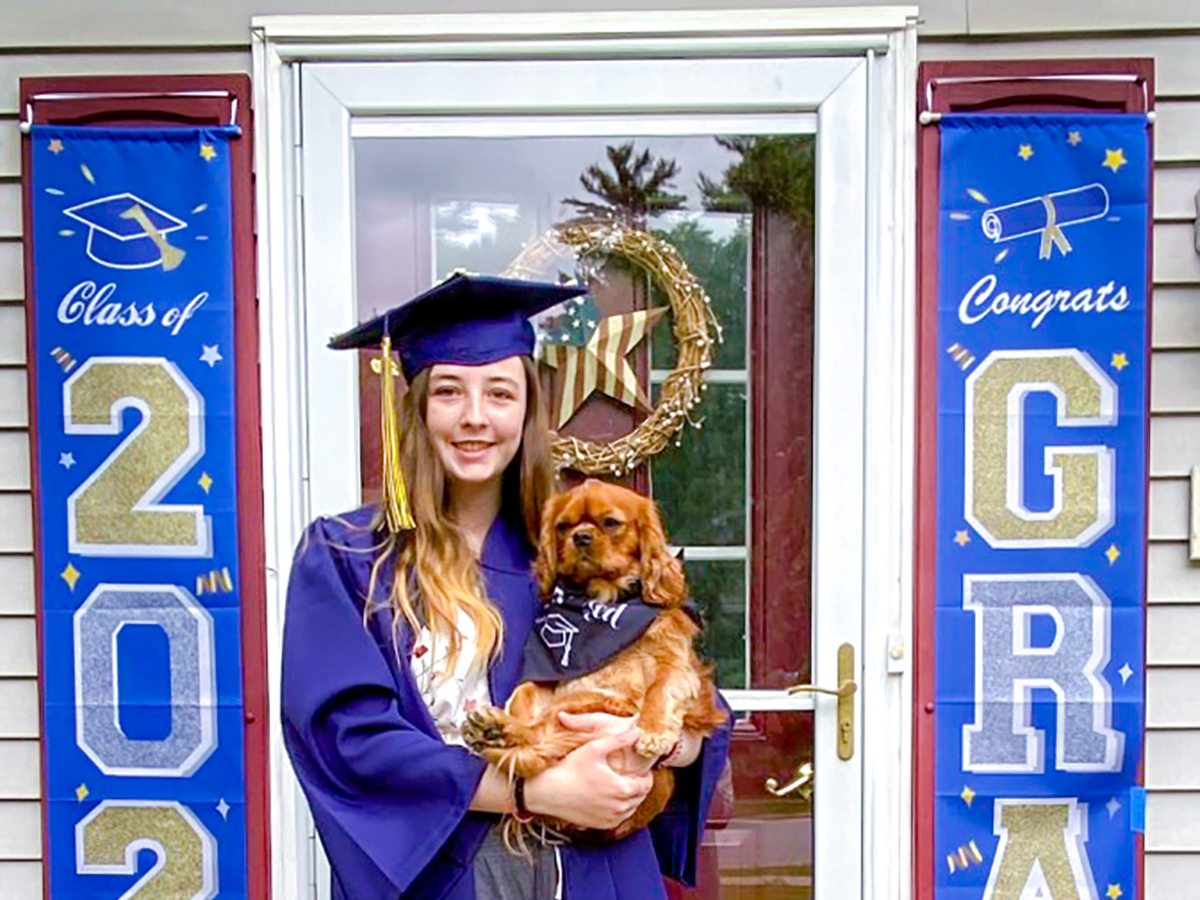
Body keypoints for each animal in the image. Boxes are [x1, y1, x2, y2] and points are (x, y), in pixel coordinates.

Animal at [460, 480, 720, 844]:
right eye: (563, 526)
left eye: (610, 523)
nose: (580, 536)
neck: (601, 604)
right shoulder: (553, 683)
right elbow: (525, 692)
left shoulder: (677, 666)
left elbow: (661, 689)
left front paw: (652, 731)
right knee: (536, 726)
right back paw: (496, 728)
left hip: (597, 704)